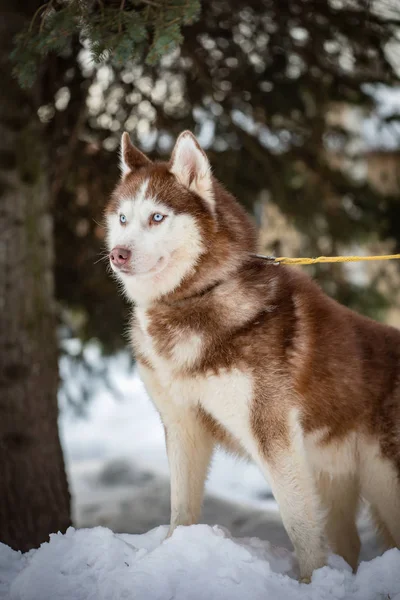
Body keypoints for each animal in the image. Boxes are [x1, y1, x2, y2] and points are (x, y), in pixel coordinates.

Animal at [106, 130, 400, 580]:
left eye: (157, 217)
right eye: (123, 218)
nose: (117, 253)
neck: (195, 299)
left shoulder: (272, 434)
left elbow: (299, 527)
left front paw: (312, 582)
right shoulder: (182, 426)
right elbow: (180, 511)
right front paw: (172, 557)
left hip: (384, 482)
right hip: (334, 477)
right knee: (346, 542)